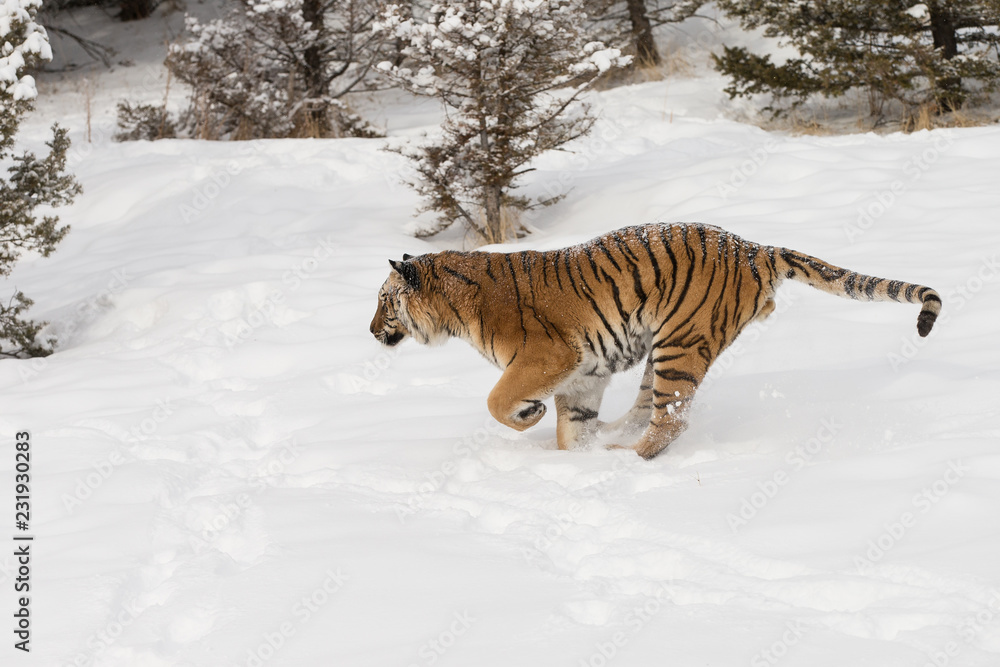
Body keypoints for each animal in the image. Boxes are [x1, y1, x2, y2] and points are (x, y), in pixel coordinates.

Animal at [372, 224, 940, 460]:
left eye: (383, 300)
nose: (372, 331)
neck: (455, 309)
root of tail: (753, 247)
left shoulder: (547, 356)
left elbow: (495, 401)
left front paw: (529, 416)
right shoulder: (582, 375)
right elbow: (572, 429)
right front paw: (572, 461)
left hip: (681, 345)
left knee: (671, 420)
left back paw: (625, 461)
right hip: (663, 350)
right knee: (650, 409)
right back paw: (613, 441)